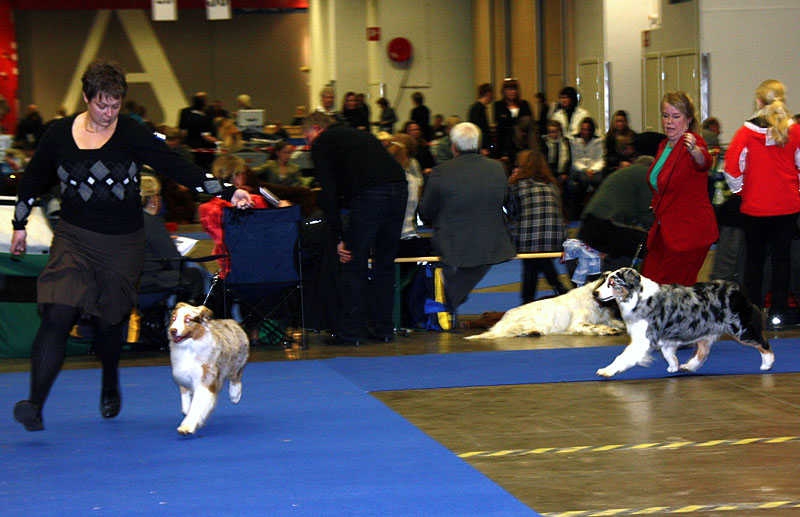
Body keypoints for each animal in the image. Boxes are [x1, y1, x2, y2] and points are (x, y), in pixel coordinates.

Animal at [168, 303, 250, 435]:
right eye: (174, 318)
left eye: (188, 320)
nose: (172, 330)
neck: (189, 347)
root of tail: (232, 321)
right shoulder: (181, 373)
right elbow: (184, 393)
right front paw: (186, 408)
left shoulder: (206, 378)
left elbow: (197, 405)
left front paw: (187, 426)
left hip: (237, 361)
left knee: (236, 376)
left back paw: (235, 395)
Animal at [465, 273, 625, 339]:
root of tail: (501, 321)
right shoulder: (576, 324)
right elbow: (594, 326)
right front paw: (609, 330)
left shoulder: (608, 318)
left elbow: (618, 323)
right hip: (537, 322)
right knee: (509, 332)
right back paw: (531, 333)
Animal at [593, 268, 774, 377]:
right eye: (605, 280)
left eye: (612, 283)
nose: (595, 293)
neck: (638, 296)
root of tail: (739, 289)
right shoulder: (665, 339)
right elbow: (668, 353)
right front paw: (674, 366)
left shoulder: (644, 339)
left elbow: (623, 356)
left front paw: (607, 370)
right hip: (705, 331)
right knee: (703, 351)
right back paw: (689, 366)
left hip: (741, 329)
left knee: (763, 344)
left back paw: (767, 364)